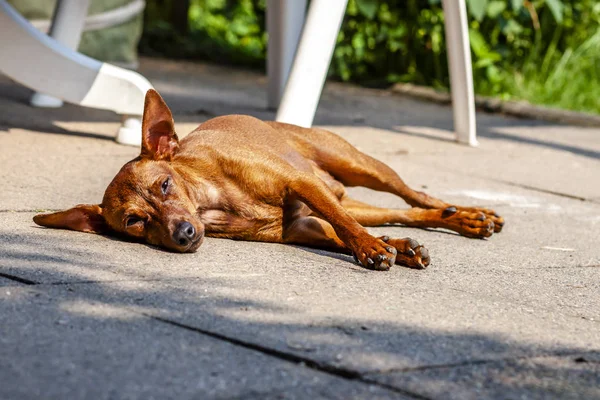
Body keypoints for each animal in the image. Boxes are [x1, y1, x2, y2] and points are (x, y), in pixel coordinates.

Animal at [31, 90, 502, 270]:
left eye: (164, 185)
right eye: (134, 222)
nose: (183, 234)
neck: (214, 200)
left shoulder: (302, 187)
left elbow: (348, 230)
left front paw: (372, 249)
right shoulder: (305, 227)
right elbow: (342, 233)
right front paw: (394, 249)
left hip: (357, 164)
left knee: (413, 194)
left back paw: (472, 214)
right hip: (353, 196)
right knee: (402, 214)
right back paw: (454, 221)